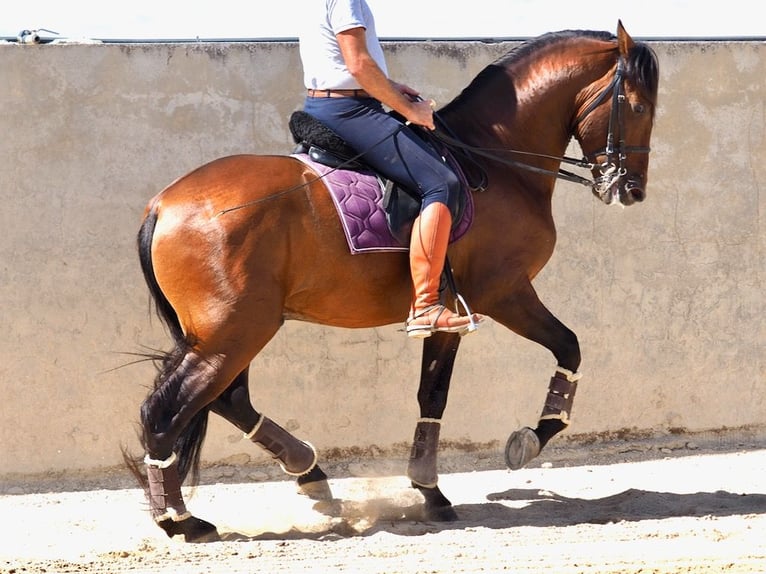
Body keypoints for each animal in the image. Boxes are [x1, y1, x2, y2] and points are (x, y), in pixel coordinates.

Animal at [126, 21, 660, 544]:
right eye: (637, 107)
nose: (631, 190)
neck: (495, 160)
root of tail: (163, 204)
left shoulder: (453, 312)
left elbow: (432, 395)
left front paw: (429, 491)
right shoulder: (503, 292)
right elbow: (567, 347)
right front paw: (528, 440)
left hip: (232, 331)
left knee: (227, 400)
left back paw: (309, 475)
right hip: (233, 331)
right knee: (165, 410)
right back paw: (181, 519)